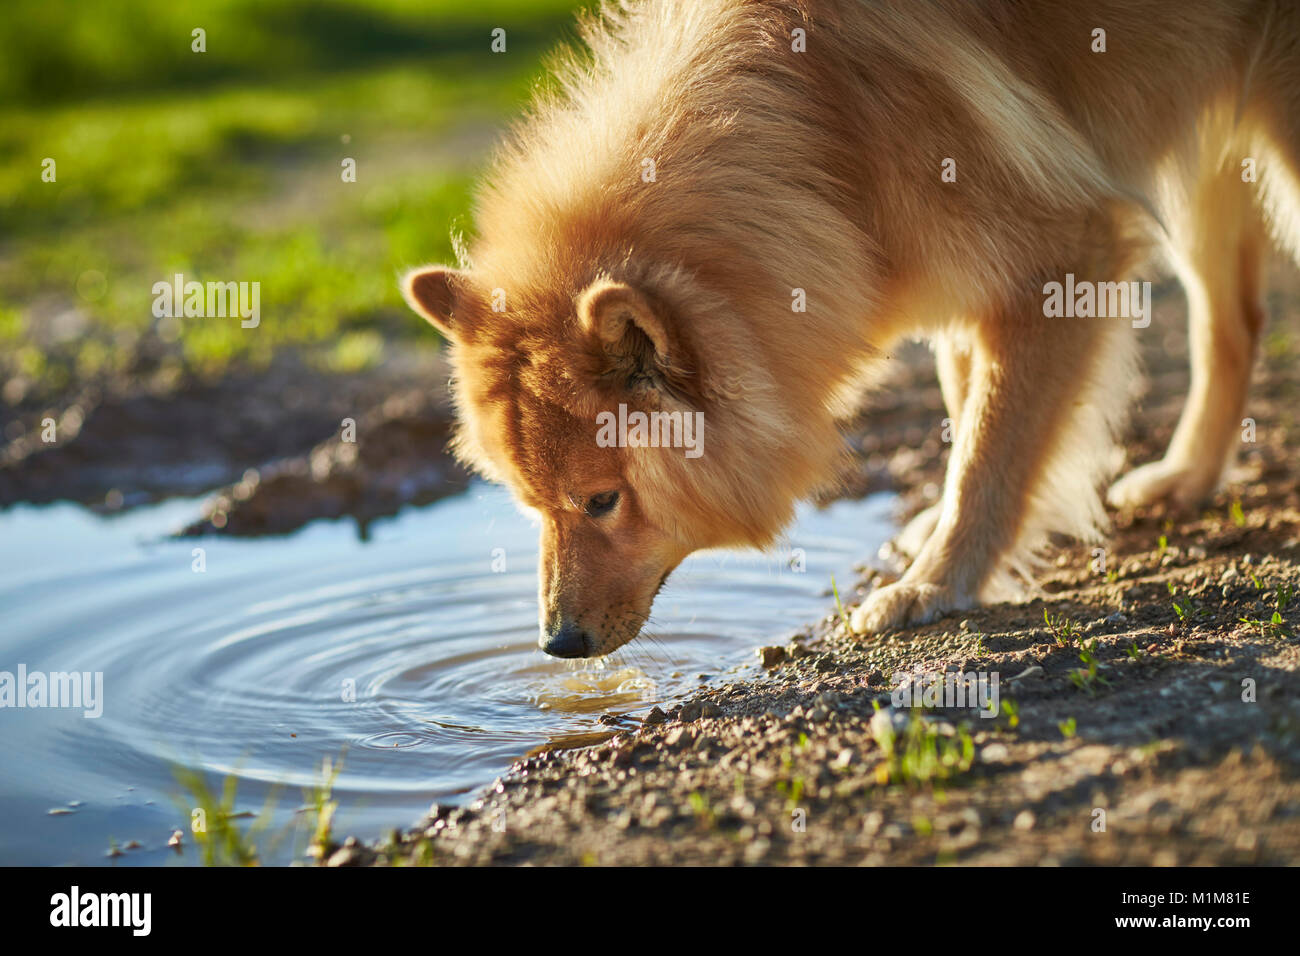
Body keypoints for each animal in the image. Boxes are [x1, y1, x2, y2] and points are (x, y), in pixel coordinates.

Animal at [403, 0, 1300, 658]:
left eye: (601, 501)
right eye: (529, 505)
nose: (555, 644)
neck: (819, 121)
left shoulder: (1060, 257)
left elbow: (996, 449)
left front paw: (938, 582)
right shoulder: (968, 279)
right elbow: (972, 410)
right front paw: (939, 537)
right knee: (1233, 320)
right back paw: (1186, 476)